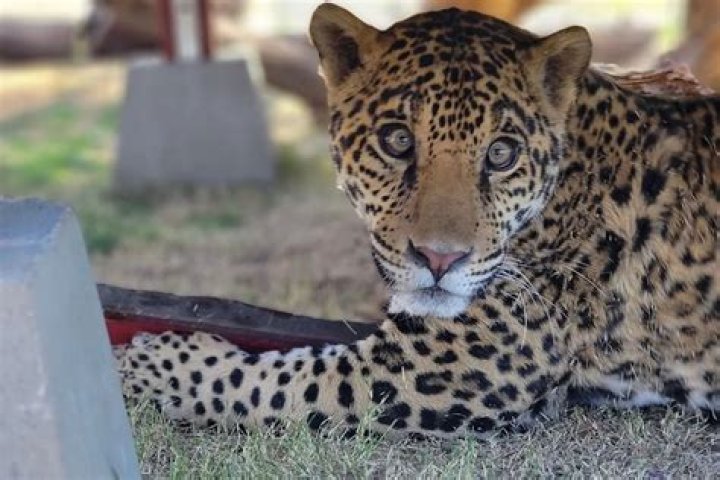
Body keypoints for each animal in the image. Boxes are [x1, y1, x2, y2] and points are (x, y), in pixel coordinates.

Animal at [117, 3, 719, 438]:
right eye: (397, 141)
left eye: (501, 154)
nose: (439, 259)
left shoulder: (441, 371)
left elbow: (261, 379)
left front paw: (143, 362)